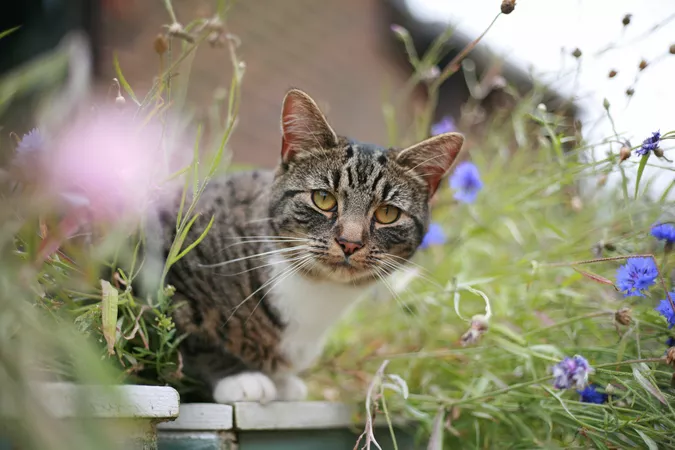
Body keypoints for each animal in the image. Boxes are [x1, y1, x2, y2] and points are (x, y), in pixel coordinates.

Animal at [156, 89, 464, 404]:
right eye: (323, 198)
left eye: (387, 213)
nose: (349, 243)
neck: (319, 291)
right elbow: (193, 333)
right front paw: (240, 376)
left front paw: (281, 382)